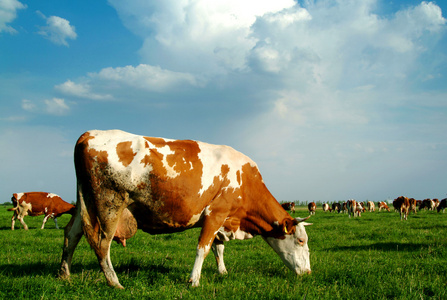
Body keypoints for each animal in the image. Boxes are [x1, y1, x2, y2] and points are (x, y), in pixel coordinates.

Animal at [58, 129, 312, 288]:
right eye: (301, 241)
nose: (309, 273)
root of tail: (89, 134)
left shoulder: (221, 221)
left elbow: (218, 248)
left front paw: (222, 272)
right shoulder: (216, 213)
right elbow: (203, 249)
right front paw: (194, 280)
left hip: (85, 203)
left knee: (72, 234)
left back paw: (65, 275)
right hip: (109, 204)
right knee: (101, 243)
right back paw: (114, 282)